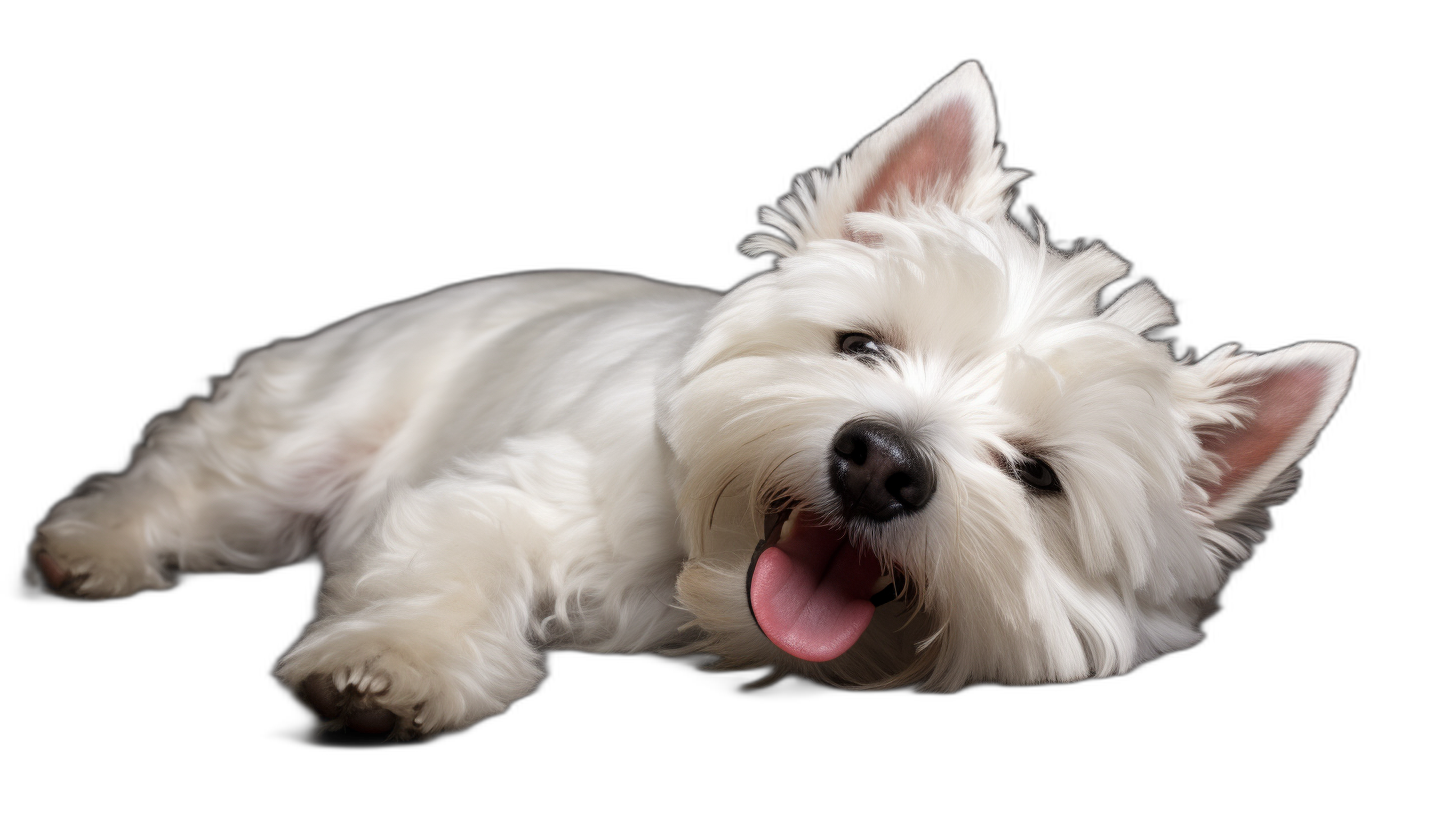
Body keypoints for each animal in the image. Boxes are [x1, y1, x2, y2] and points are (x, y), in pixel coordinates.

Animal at [28, 65, 1356, 740]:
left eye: (1037, 474)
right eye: (860, 344)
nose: (879, 462)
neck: (705, 594)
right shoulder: (503, 492)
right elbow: (442, 561)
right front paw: (389, 667)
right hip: (307, 428)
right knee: (191, 476)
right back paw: (93, 546)